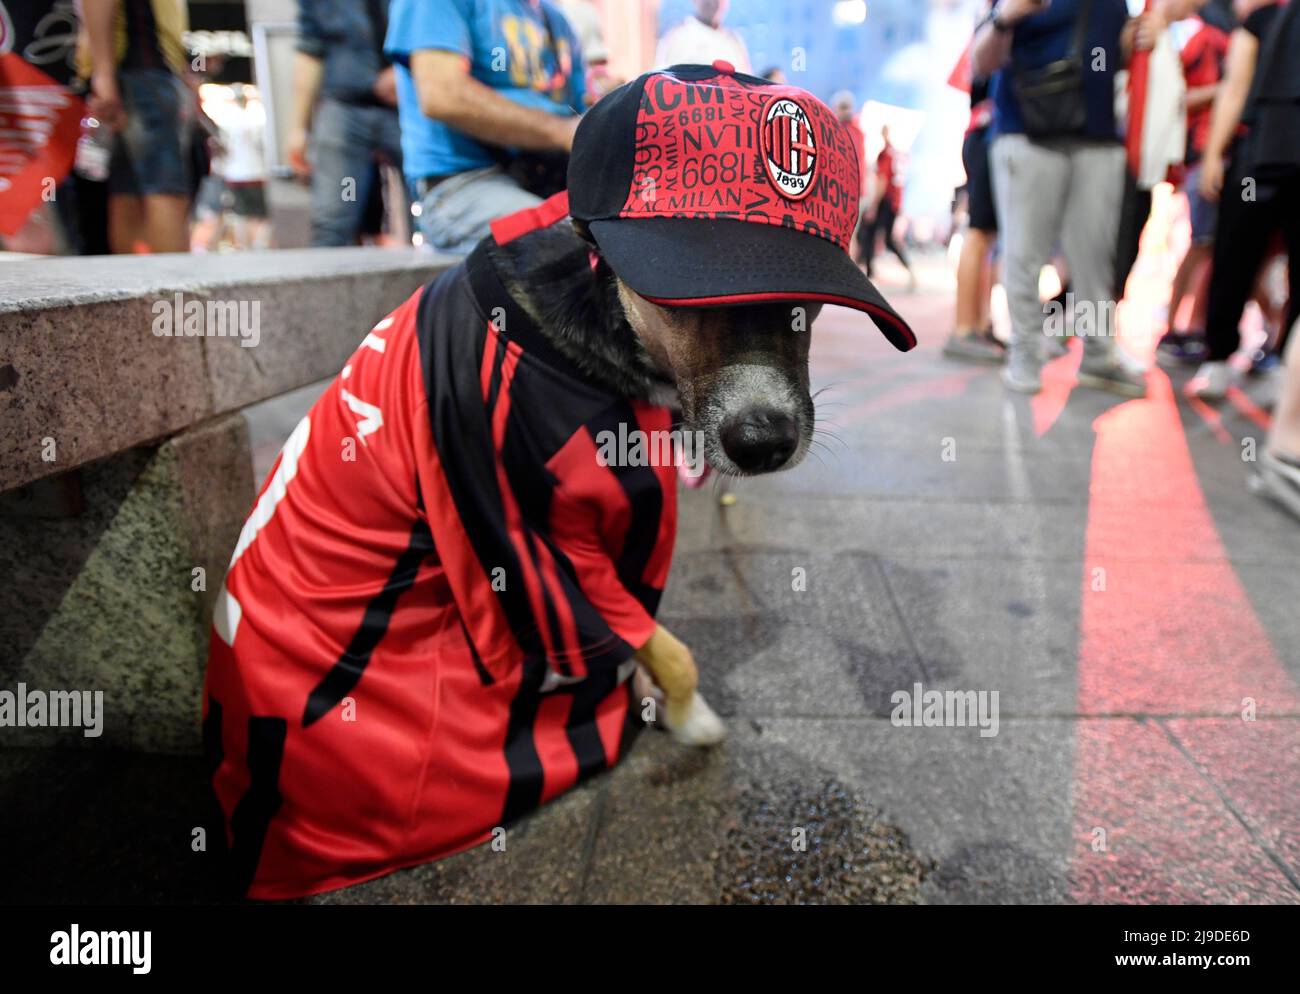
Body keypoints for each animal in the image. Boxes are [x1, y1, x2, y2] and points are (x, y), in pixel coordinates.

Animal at [205, 63, 915, 899]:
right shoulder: (535, 543)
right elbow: (664, 646)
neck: (598, 319)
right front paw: (690, 719)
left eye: (804, 308)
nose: (764, 441)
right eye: (681, 304)